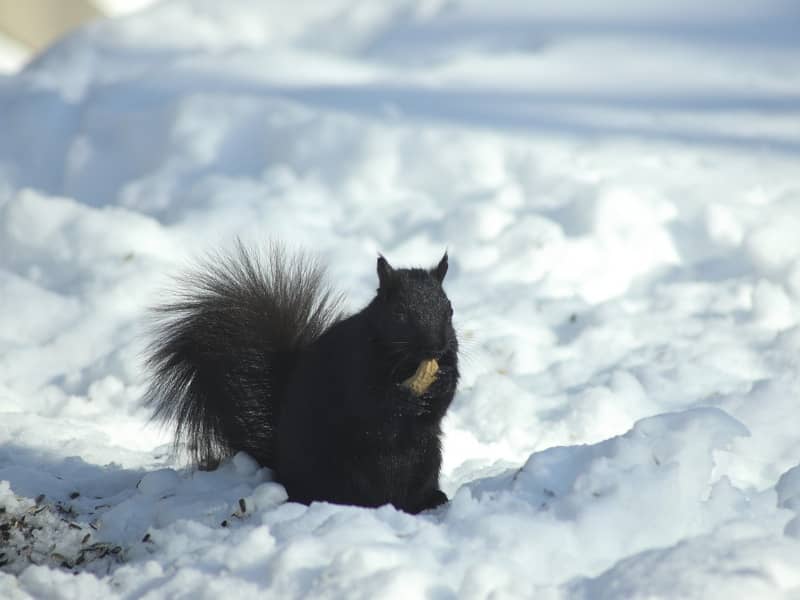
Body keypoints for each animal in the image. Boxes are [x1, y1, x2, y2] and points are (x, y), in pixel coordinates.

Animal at [143, 241, 456, 512]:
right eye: (401, 313)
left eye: (449, 309)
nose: (435, 346)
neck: (407, 363)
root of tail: (281, 465)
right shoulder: (354, 366)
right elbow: (373, 405)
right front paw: (405, 396)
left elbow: (443, 402)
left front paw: (439, 384)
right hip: (342, 466)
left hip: (428, 456)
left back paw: (431, 500)